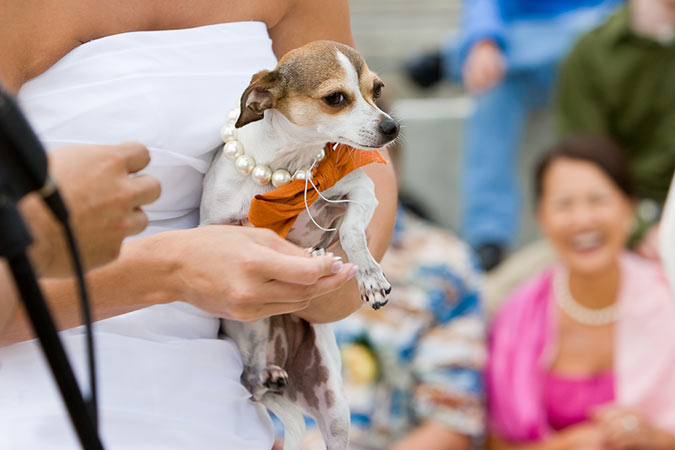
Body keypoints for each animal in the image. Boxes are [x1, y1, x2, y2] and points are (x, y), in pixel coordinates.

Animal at [201, 41, 402, 450]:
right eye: (335, 98)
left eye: (376, 90)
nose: (392, 126)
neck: (289, 168)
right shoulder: (216, 228)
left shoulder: (361, 192)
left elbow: (350, 232)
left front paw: (369, 276)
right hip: (252, 332)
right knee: (251, 383)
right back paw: (264, 376)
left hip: (334, 408)